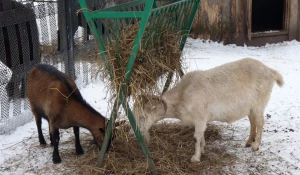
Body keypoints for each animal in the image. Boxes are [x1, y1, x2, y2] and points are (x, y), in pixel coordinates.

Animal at [131, 58, 284, 163]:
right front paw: (203, 150)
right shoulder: (200, 120)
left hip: (259, 103)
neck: (182, 95)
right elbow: (201, 136)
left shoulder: (200, 117)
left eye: (143, 117)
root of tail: (270, 71)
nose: (136, 133)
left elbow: (196, 137)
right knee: (253, 122)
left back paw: (256, 145)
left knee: (260, 122)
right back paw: (249, 141)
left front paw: (195, 157)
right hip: (250, 107)